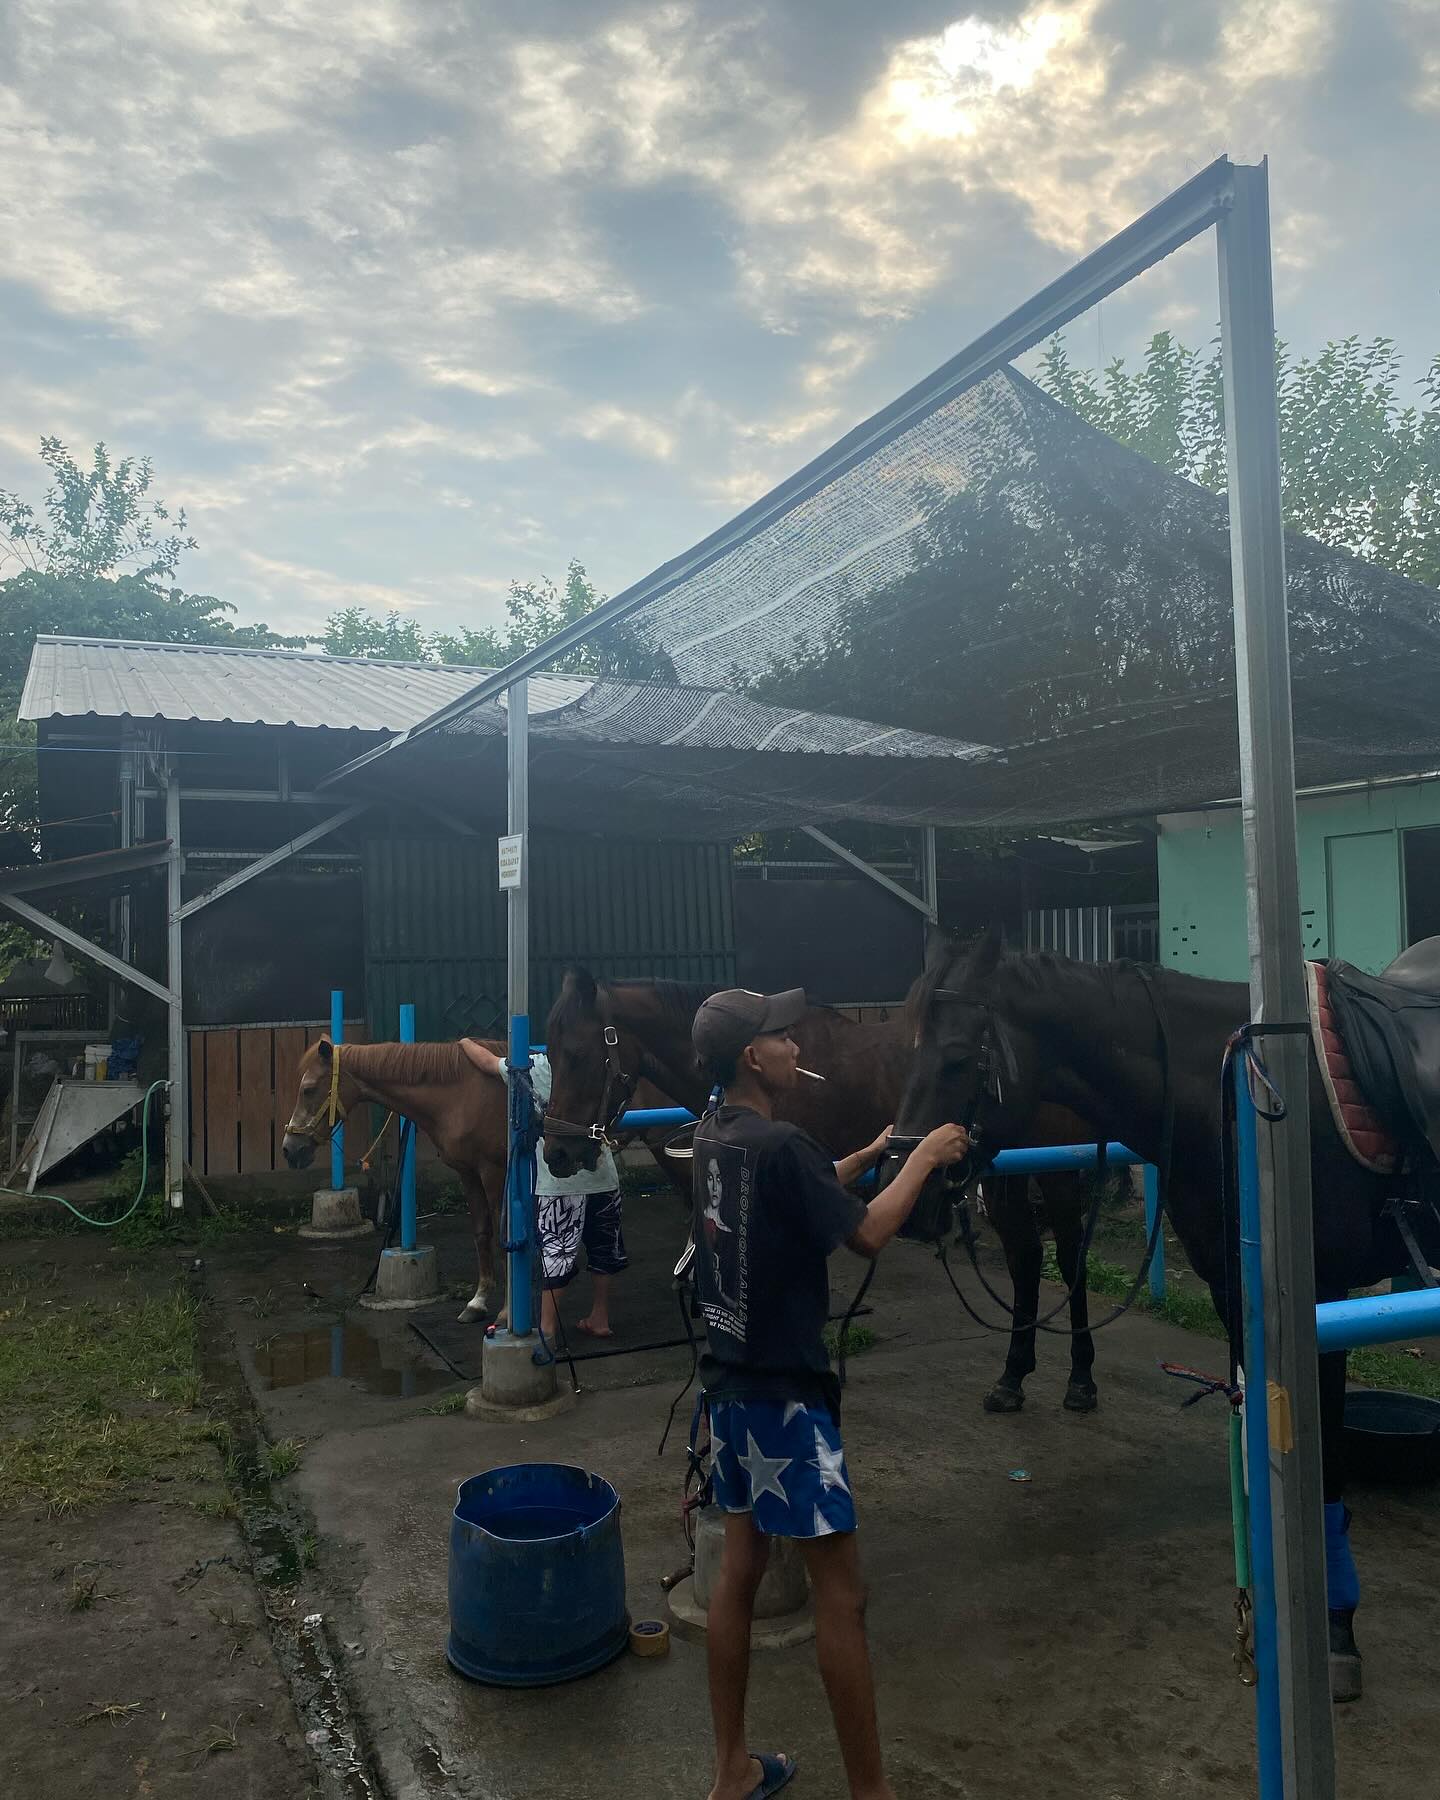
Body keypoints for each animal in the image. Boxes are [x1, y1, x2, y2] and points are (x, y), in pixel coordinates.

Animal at [889, 928, 1440, 1699]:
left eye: (960, 1058)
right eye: (907, 1049)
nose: (908, 1196)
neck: (1232, 1096)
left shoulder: (1321, 1300)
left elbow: (1323, 1467)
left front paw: (1334, 1631)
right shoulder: (1235, 1296)